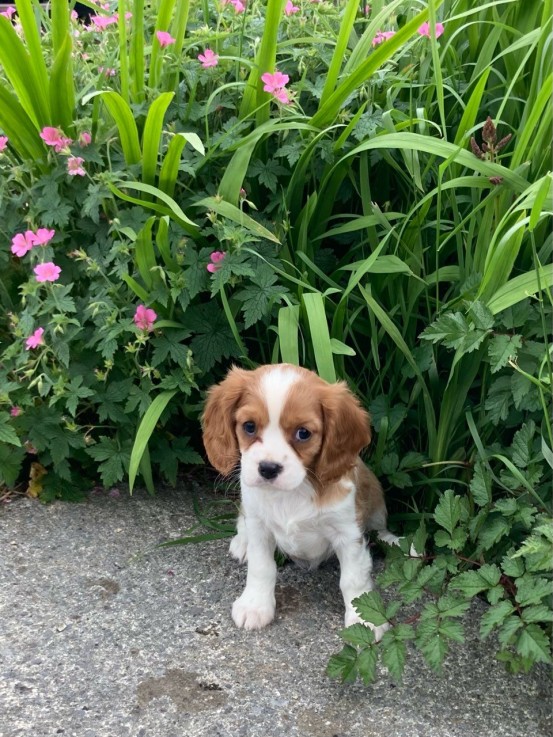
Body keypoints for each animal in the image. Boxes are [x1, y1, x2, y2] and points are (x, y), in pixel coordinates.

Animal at [202, 366, 396, 636]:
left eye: (303, 433)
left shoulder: (348, 533)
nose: (268, 468)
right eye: (249, 426)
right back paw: (242, 543)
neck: (293, 492)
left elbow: (353, 579)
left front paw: (364, 620)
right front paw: (255, 605)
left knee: (379, 527)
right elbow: (261, 567)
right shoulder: (260, 527)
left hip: (375, 491)